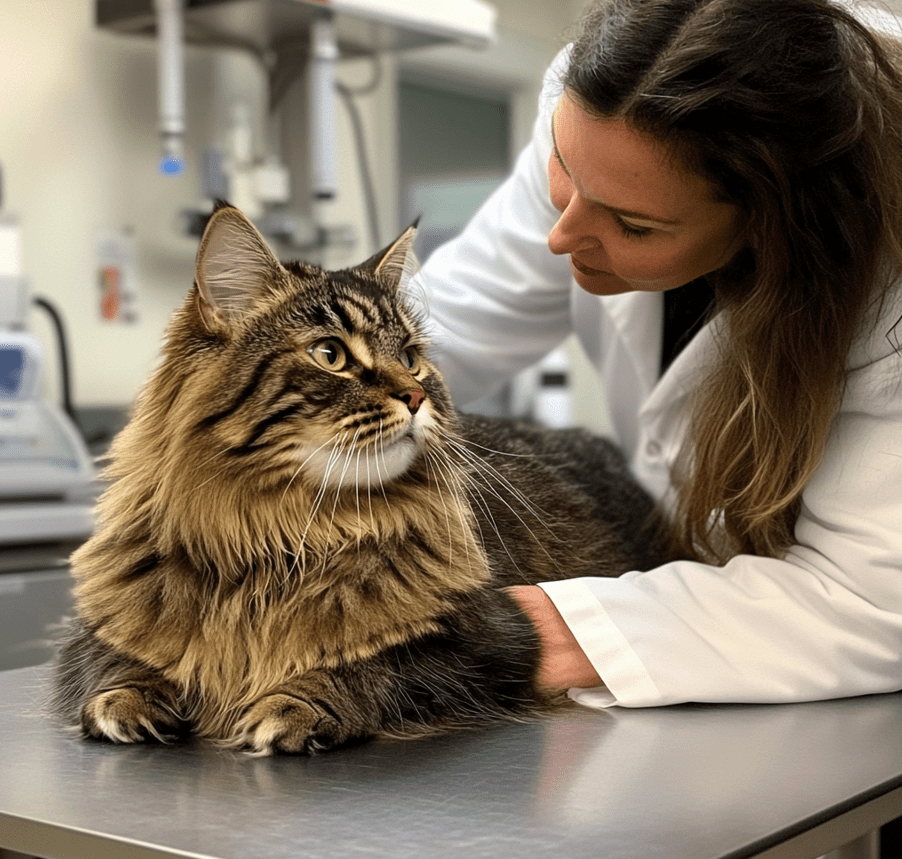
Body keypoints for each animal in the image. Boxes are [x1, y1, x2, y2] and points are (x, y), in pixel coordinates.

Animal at [51, 205, 672, 756]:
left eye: (413, 358)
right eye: (331, 354)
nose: (416, 396)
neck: (276, 536)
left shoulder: (494, 637)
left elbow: (365, 663)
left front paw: (294, 704)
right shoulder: (97, 628)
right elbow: (122, 663)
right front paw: (128, 700)